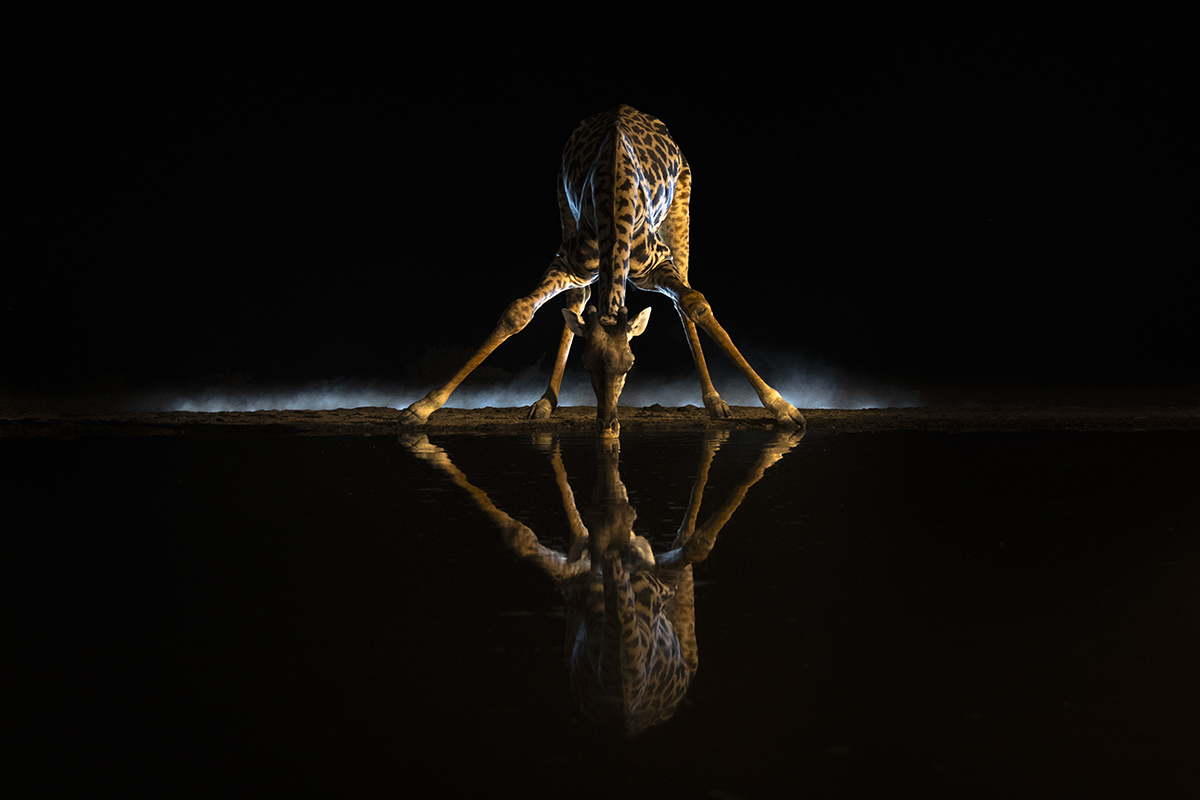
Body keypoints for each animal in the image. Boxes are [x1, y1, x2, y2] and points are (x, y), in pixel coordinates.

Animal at [397, 105, 806, 437]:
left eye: (631, 364)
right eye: (586, 364)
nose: (608, 426)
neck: (612, 198)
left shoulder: (657, 262)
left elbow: (696, 304)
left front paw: (784, 408)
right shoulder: (568, 261)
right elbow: (518, 312)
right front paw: (421, 407)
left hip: (680, 212)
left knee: (683, 301)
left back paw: (716, 402)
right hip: (565, 212)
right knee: (576, 302)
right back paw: (545, 402)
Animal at [399, 428, 805, 734]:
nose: (625, 535)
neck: (623, 685)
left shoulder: (662, 580)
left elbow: (697, 543)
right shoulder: (575, 586)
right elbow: (524, 539)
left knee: (684, 546)